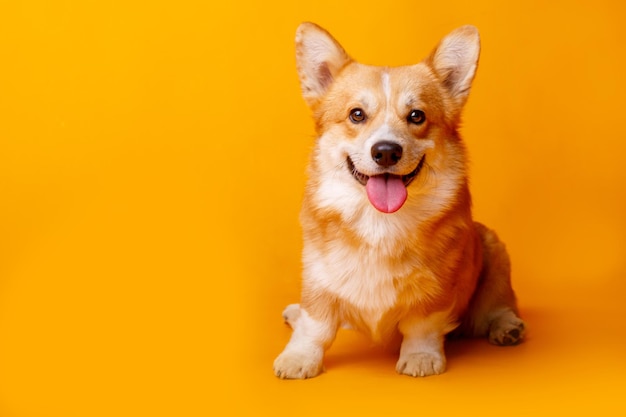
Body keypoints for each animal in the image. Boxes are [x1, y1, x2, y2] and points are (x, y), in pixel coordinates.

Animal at [276, 22, 524, 378]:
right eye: (356, 114)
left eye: (416, 115)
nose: (386, 151)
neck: (378, 219)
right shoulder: (318, 278)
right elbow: (316, 325)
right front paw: (299, 357)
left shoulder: (435, 290)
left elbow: (422, 326)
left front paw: (421, 358)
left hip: (493, 251)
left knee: (496, 306)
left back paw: (507, 327)